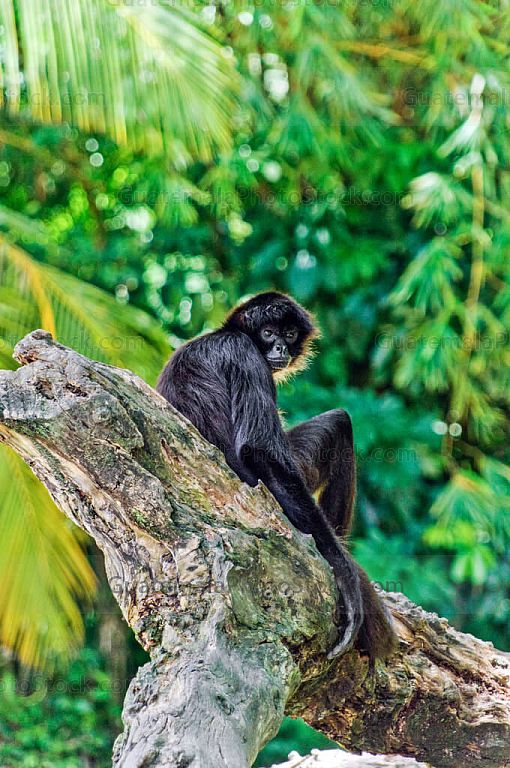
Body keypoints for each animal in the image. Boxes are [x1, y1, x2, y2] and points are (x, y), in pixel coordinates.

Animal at [157, 291, 396, 659]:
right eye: (268, 333)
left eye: (289, 334)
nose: (280, 347)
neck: (227, 334)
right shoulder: (246, 355)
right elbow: (260, 452)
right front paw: (345, 573)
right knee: (338, 423)